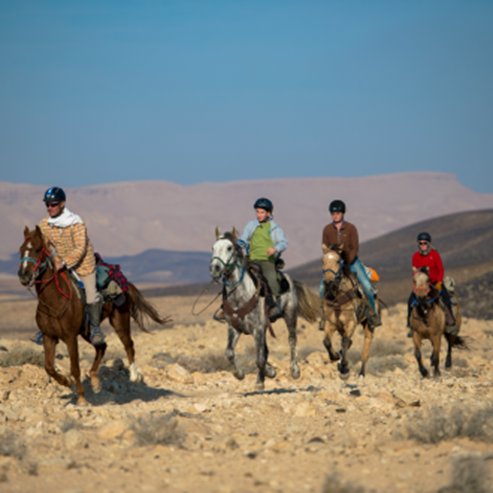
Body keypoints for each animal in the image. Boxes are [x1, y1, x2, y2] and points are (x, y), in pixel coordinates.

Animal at [17, 227, 171, 404]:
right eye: (21, 249)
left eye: (37, 249)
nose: (24, 275)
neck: (54, 301)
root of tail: (126, 283)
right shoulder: (49, 337)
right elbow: (48, 366)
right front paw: (66, 381)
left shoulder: (70, 337)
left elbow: (75, 367)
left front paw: (81, 398)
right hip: (88, 331)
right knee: (102, 346)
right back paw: (95, 381)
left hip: (120, 319)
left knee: (128, 344)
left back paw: (134, 375)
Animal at [209, 229, 320, 390]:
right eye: (213, 248)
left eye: (229, 248)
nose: (215, 268)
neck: (239, 295)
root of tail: (288, 278)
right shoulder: (235, 327)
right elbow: (230, 352)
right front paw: (241, 374)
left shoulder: (258, 329)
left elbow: (260, 357)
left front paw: (260, 381)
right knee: (266, 349)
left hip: (290, 315)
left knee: (292, 339)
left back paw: (295, 371)